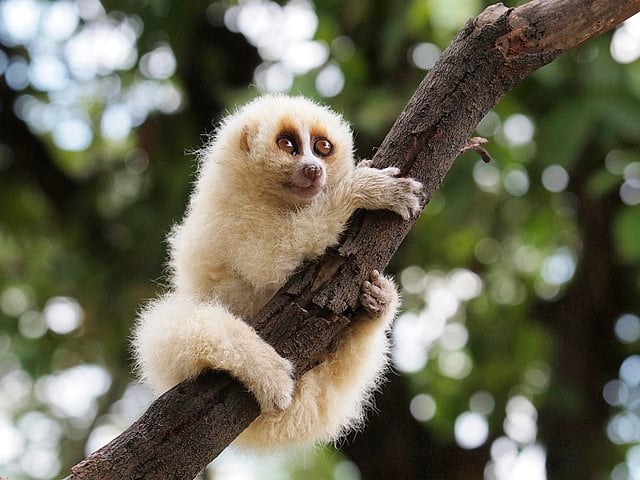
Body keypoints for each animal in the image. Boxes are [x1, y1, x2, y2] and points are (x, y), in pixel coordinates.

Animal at [132, 94, 423, 451]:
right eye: (287, 145)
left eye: (322, 147)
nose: (313, 169)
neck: (271, 198)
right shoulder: (236, 215)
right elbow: (269, 260)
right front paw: (363, 190)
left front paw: (379, 299)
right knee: (166, 325)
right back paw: (264, 370)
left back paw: (374, 308)